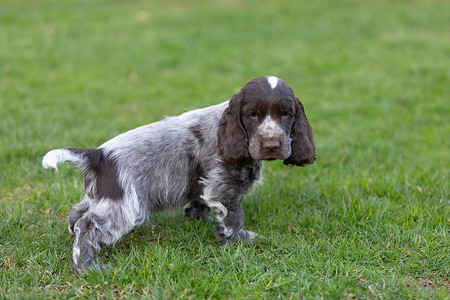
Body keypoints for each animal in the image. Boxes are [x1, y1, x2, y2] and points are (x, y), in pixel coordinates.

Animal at [43, 75, 316, 274]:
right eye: (253, 115)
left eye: (286, 113)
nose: (271, 145)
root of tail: (99, 155)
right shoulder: (225, 187)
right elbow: (233, 218)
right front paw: (240, 241)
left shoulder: (207, 185)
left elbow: (200, 202)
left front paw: (198, 220)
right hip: (126, 208)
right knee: (87, 226)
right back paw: (88, 268)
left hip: (101, 197)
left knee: (76, 213)